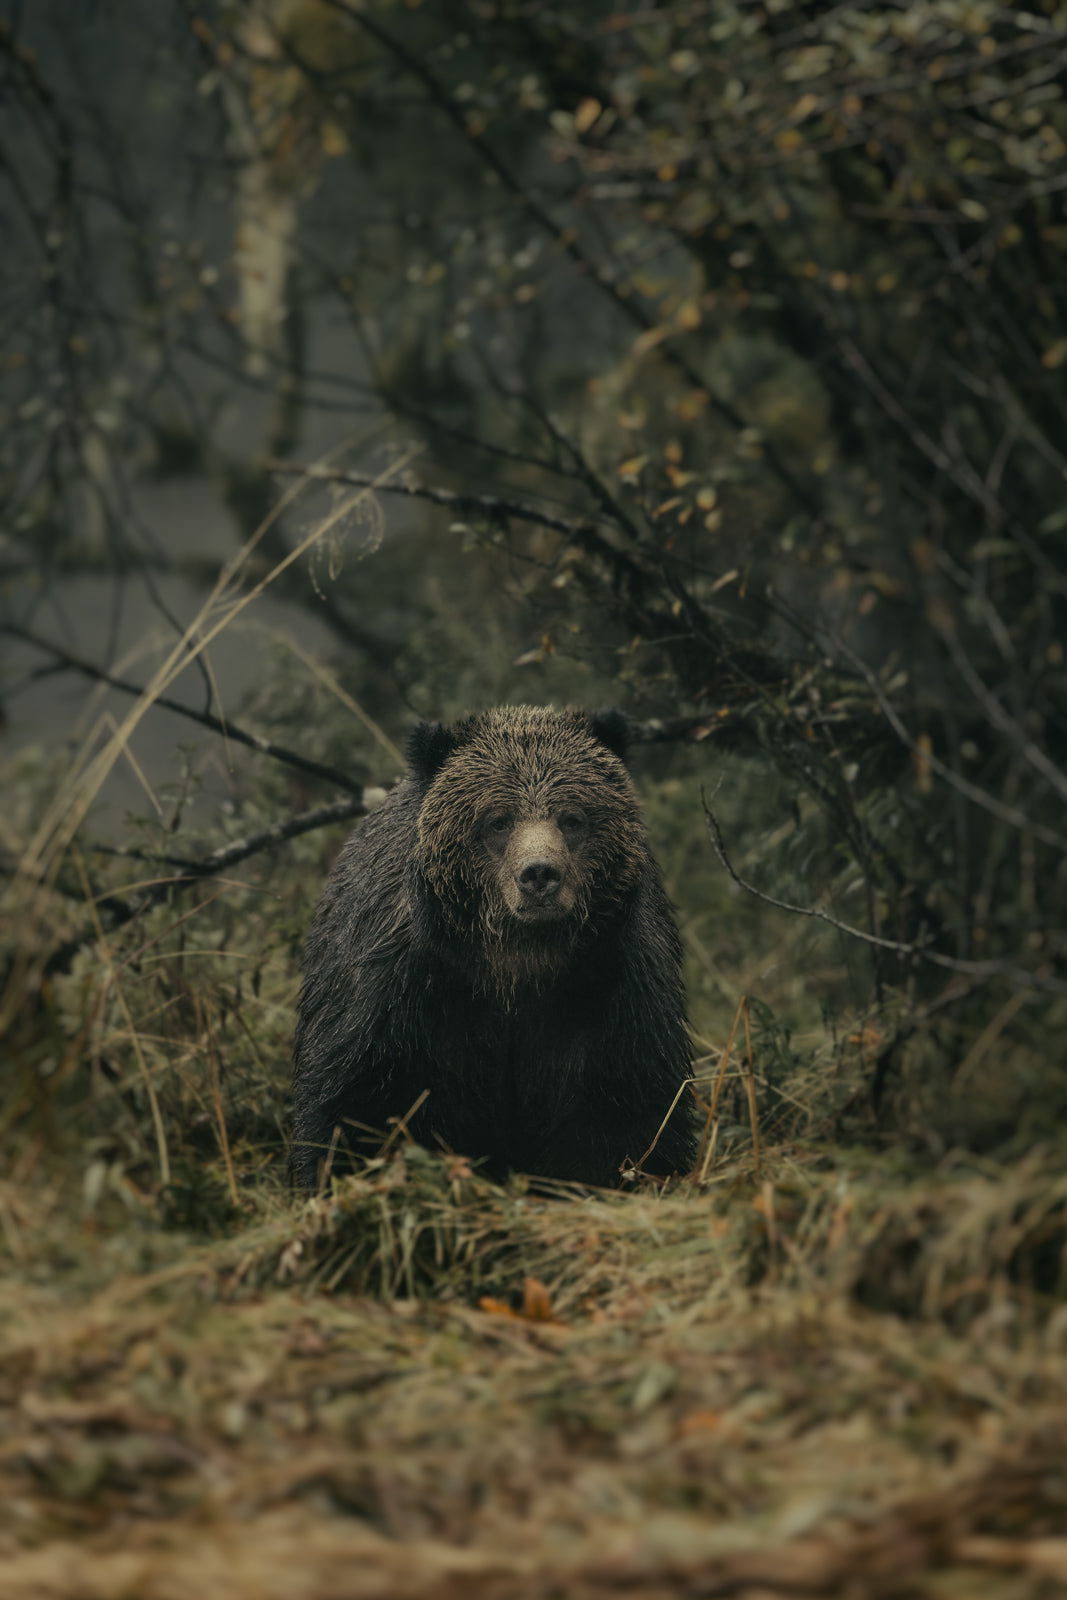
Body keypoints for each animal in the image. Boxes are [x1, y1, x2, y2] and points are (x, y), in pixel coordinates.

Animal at [289, 705, 695, 1189]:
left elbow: (633, 1112)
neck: (518, 964)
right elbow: (356, 1105)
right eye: (498, 820)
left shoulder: (611, 989)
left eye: (572, 818)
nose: (539, 874)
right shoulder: (403, 993)